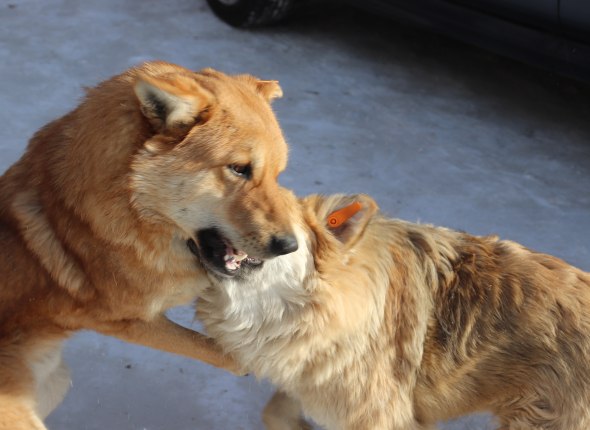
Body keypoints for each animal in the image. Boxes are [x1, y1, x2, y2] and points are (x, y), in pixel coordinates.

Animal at [0, 61, 298, 430]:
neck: (131, 204)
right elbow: (214, 349)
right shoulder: (131, 319)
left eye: (277, 174)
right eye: (239, 169)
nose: (289, 246)